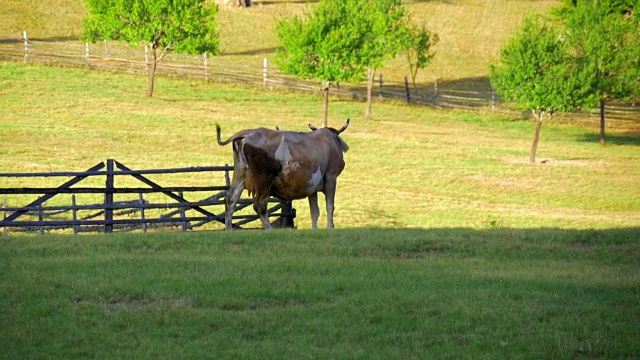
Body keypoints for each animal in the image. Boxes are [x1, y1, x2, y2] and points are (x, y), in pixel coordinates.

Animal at [216, 119, 350, 229]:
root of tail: (248, 133)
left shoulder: (312, 187)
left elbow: (314, 211)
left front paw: (314, 230)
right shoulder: (331, 176)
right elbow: (330, 206)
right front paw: (330, 228)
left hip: (240, 175)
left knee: (230, 200)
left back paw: (229, 229)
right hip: (263, 179)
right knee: (259, 204)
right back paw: (269, 229)